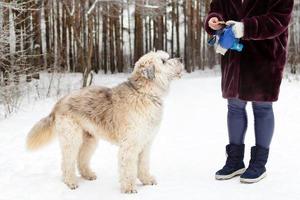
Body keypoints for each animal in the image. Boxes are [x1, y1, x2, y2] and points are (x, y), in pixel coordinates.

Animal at [26, 50, 183, 193]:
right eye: (163, 61)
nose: (180, 59)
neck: (144, 93)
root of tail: (59, 103)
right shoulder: (130, 144)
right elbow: (128, 168)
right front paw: (129, 188)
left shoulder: (145, 142)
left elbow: (143, 164)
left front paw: (147, 180)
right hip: (71, 138)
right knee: (67, 162)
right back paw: (70, 182)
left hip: (89, 139)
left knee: (81, 159)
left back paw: (88, 175)